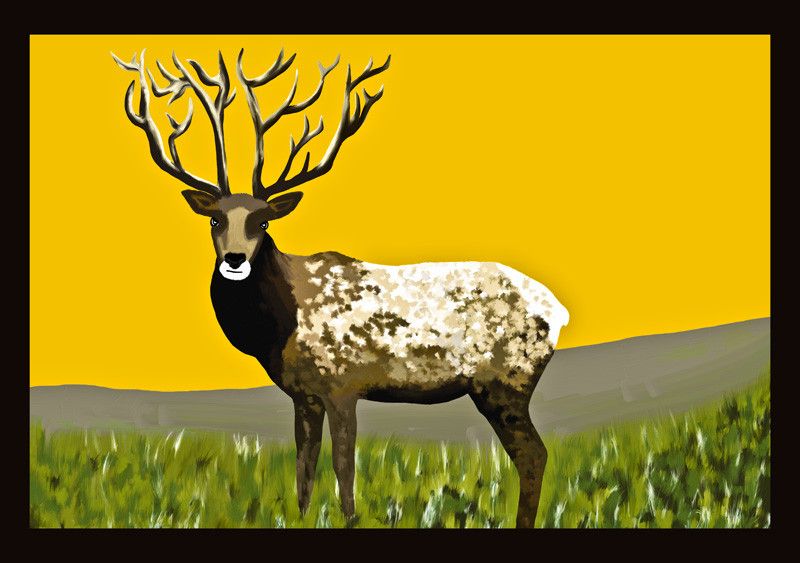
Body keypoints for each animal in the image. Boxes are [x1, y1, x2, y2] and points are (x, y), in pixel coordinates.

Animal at [112, 48, 569, 528]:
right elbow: (304, 467)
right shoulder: (304, 394)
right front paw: (301, 515)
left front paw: (350, 518)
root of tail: (558, 311)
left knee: (534, 455)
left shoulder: (343, 382)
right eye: (215, 219)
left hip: (506, 380)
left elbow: (344, 466)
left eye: (264, 221)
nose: (234, 259)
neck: (282, 329)